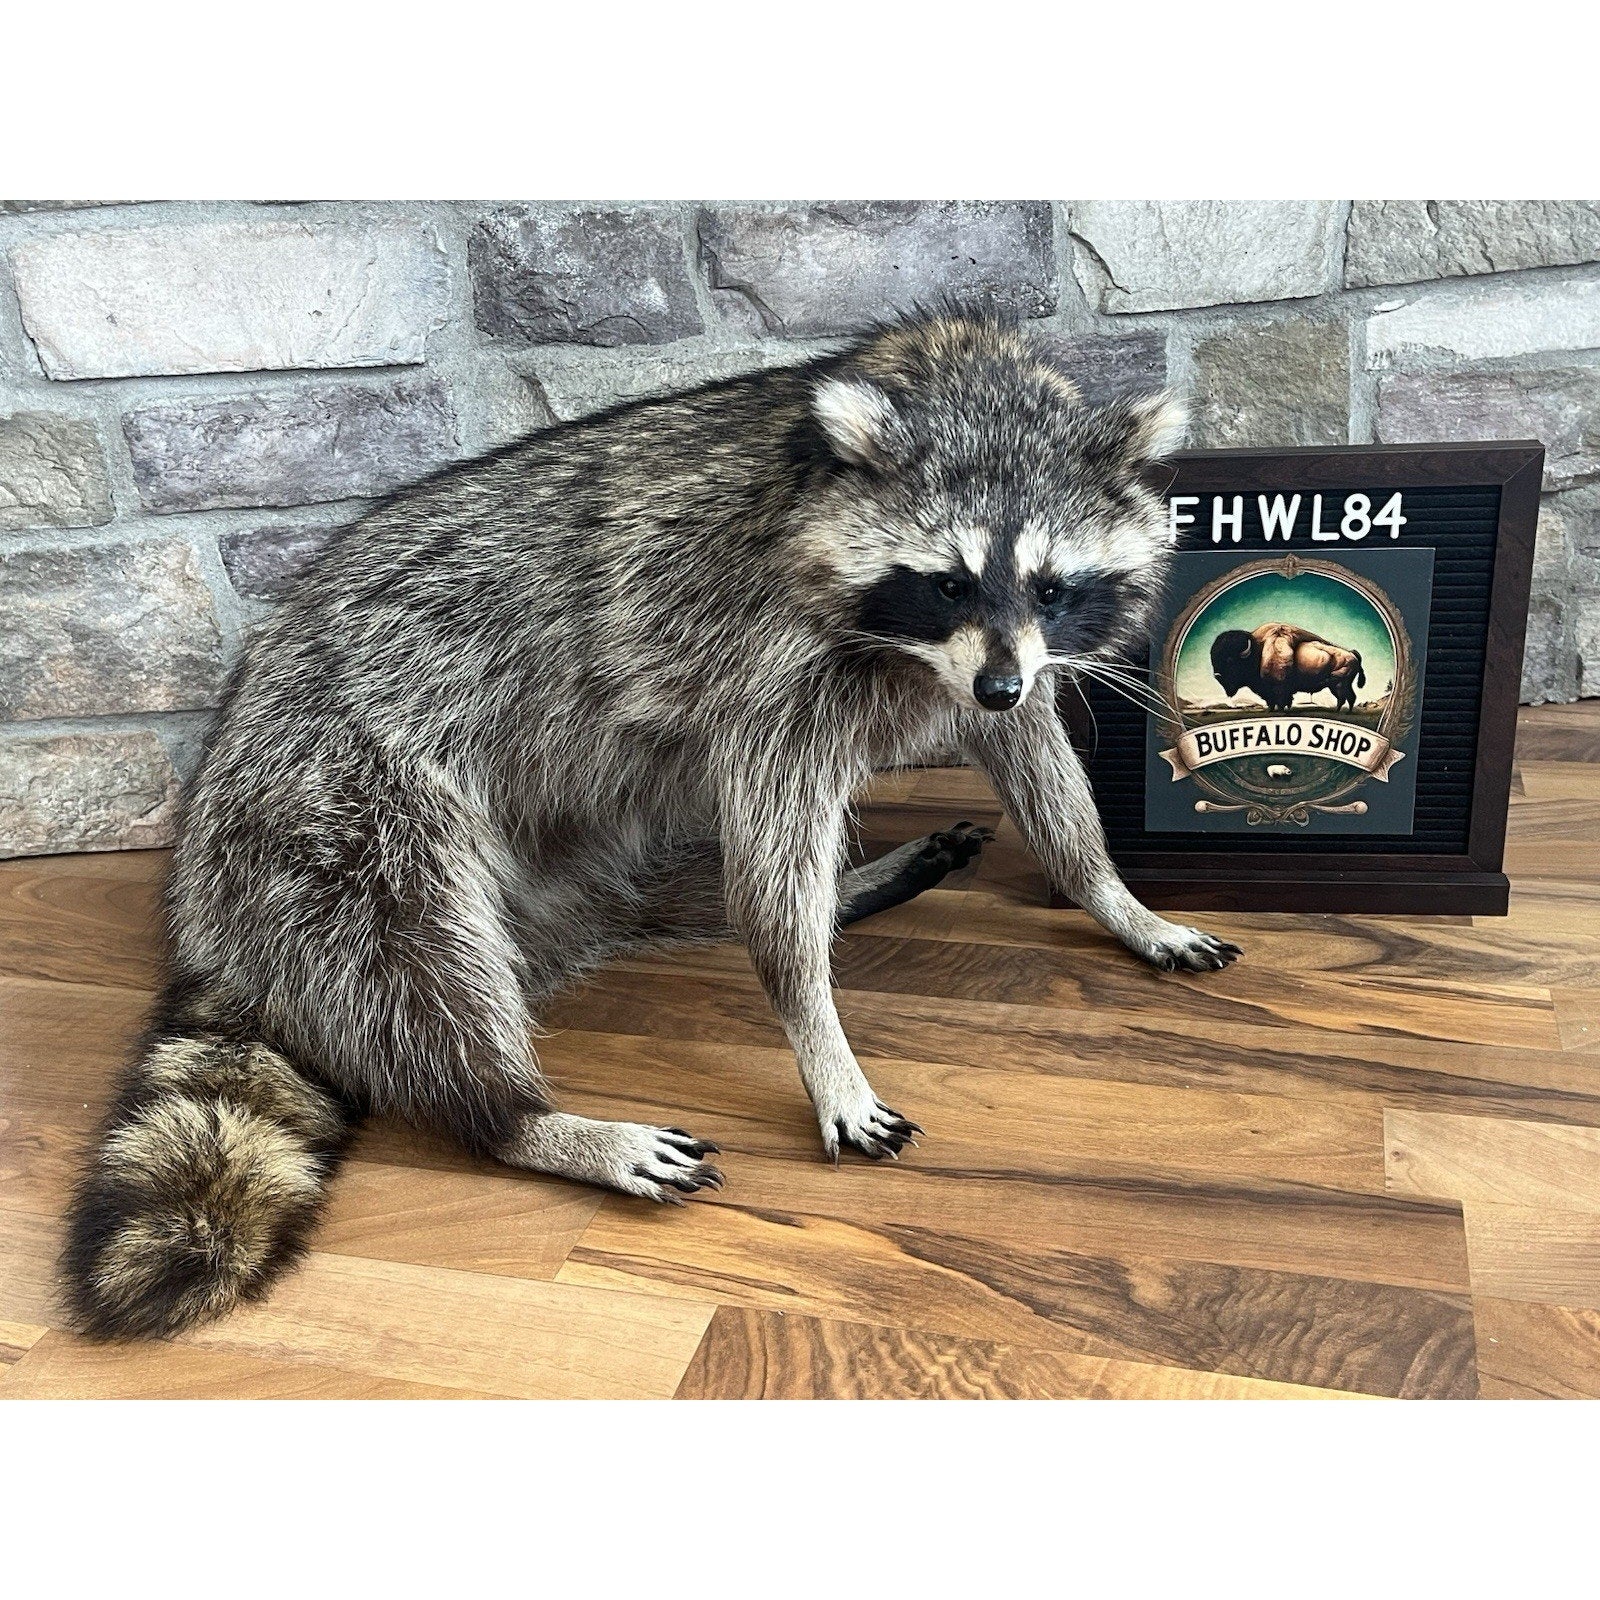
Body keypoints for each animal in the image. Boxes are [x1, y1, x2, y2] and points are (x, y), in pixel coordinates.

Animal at [61, 310, 1241, 1340]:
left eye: (1050, 586)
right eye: (947, 581)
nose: (995, 683)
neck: (953, 376)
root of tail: (213, 912)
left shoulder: (983, 674)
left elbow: (1038, 767)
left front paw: (1110, 892)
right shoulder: (769, 665)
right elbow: (773, 875)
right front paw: (817, 1031)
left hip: (577, 838)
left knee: (665, 882)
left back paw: (844, 889)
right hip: (330, 806)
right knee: (416, 958)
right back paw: (528, 1120)